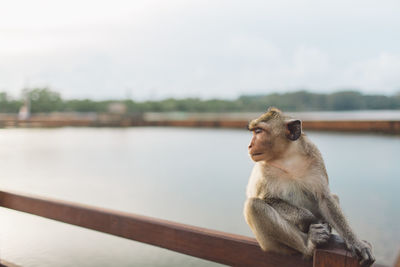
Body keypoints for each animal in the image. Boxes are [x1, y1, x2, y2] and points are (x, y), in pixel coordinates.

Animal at [242, 108, 376, 266]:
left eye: (258, 131)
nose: (250, 145)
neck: (287, 158)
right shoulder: (263, 169)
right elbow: (267, 199)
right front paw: (311, 220)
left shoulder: (315, 156)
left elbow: (325, 198)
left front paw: (356, 242)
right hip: (271, 246)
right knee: (254, 206)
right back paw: (309, 244)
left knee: (333, 197)